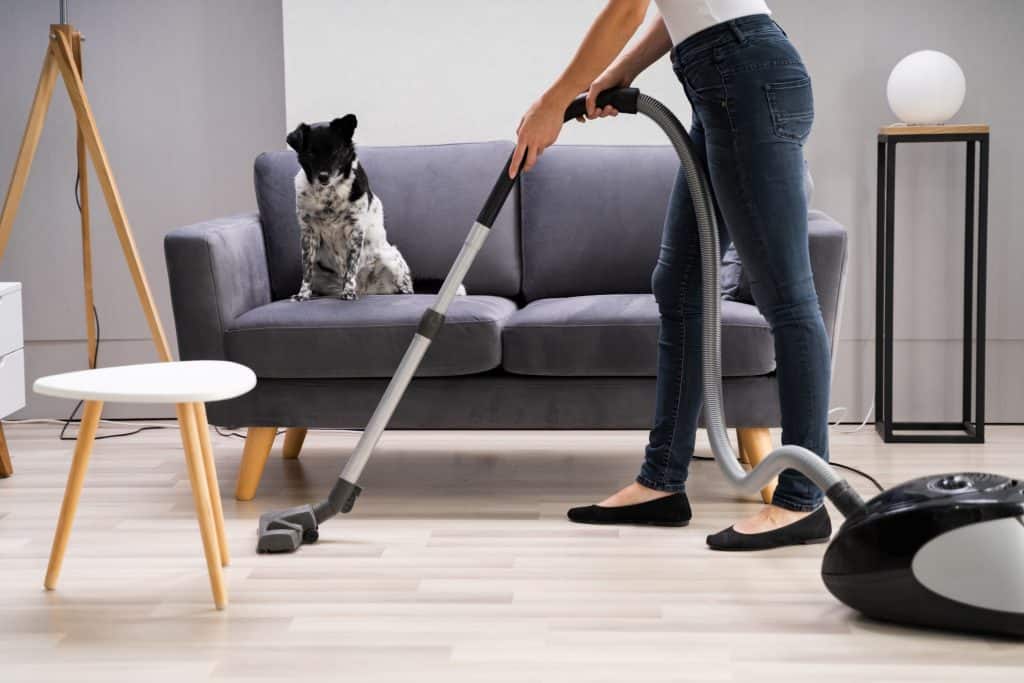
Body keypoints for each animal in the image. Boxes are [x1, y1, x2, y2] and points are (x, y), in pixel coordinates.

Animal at [284, 113, 411, 301]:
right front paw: (303, 294)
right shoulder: (308, 232)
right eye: (311, 153)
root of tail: (365, 290)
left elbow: (351, 266)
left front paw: (349, 291)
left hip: (389, 258)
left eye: (336, 151)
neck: (328, 195)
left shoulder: (355, 230)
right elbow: (307, 269)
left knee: (403, 285)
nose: (323, 177)